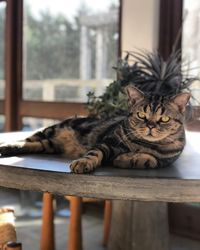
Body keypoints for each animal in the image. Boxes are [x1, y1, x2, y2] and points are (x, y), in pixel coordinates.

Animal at [0, 86, 190, 174]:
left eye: (164, 119)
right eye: (141, 115)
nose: (150, 125)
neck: (144, 144)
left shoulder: (166, 160)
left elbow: (151, 160)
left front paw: (127, 158)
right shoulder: (108, 142)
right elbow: (94, 153)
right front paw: (83, 163)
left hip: (49, 145)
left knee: (32, 145)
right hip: (51, 130)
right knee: (27, 139)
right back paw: (5, 146)